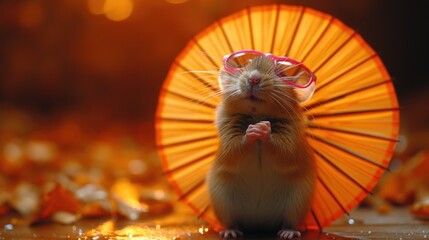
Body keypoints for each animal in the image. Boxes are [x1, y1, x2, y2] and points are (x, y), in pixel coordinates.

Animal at [206, 55, 316, 239]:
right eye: (246, 65)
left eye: (281, 73)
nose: (253, 78)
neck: (257, 114)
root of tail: (259, 223)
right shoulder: (229, 143)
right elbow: (238, 147)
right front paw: (253, 130)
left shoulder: (290, 145)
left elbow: (279, 149)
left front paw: (263, 129)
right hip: (222, 202)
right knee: (230, 222)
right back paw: (230, 232)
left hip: (298, 203)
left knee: (290, 222)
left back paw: (289, 232)